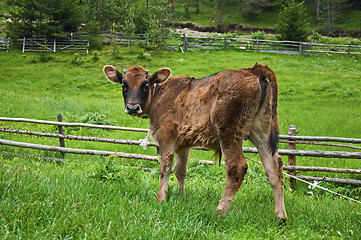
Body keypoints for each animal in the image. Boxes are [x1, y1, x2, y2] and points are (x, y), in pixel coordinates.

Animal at [103, 62, 286, 220]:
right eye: (123, 84)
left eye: (146, 85)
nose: (132, 107)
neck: (161, 94)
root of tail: (254, 70)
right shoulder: (184, 143)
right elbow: (180, 170)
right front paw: (180, 195)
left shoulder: (166, 135)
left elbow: (165, 167)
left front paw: (161, 198)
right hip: (262, 131)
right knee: (274, 167)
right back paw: (280, 216)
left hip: (229, 131)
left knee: (237, 168)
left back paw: (219, 212)